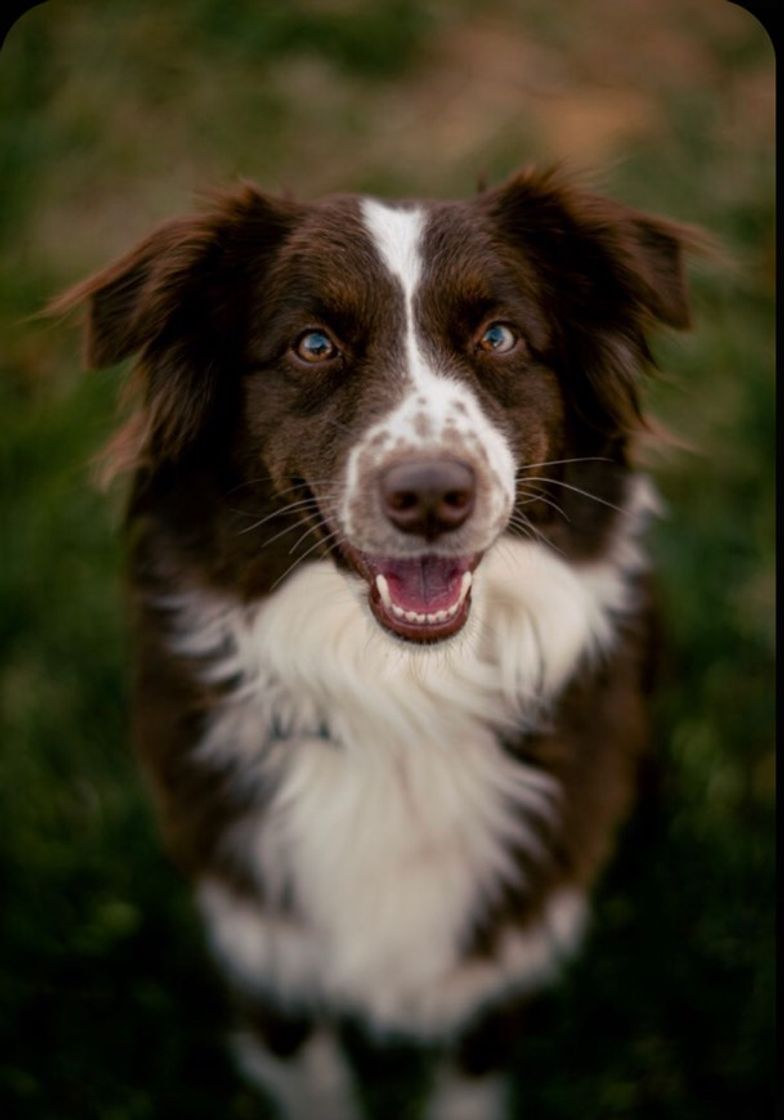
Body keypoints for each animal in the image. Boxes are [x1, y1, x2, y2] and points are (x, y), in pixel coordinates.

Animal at [59, 168, 698, 1120]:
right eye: (313, 344)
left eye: (500, 336)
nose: (431, 495)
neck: (401, 698)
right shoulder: (264, 940)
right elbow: (315, 1078)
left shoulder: (507, 947)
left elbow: (468, 1079)